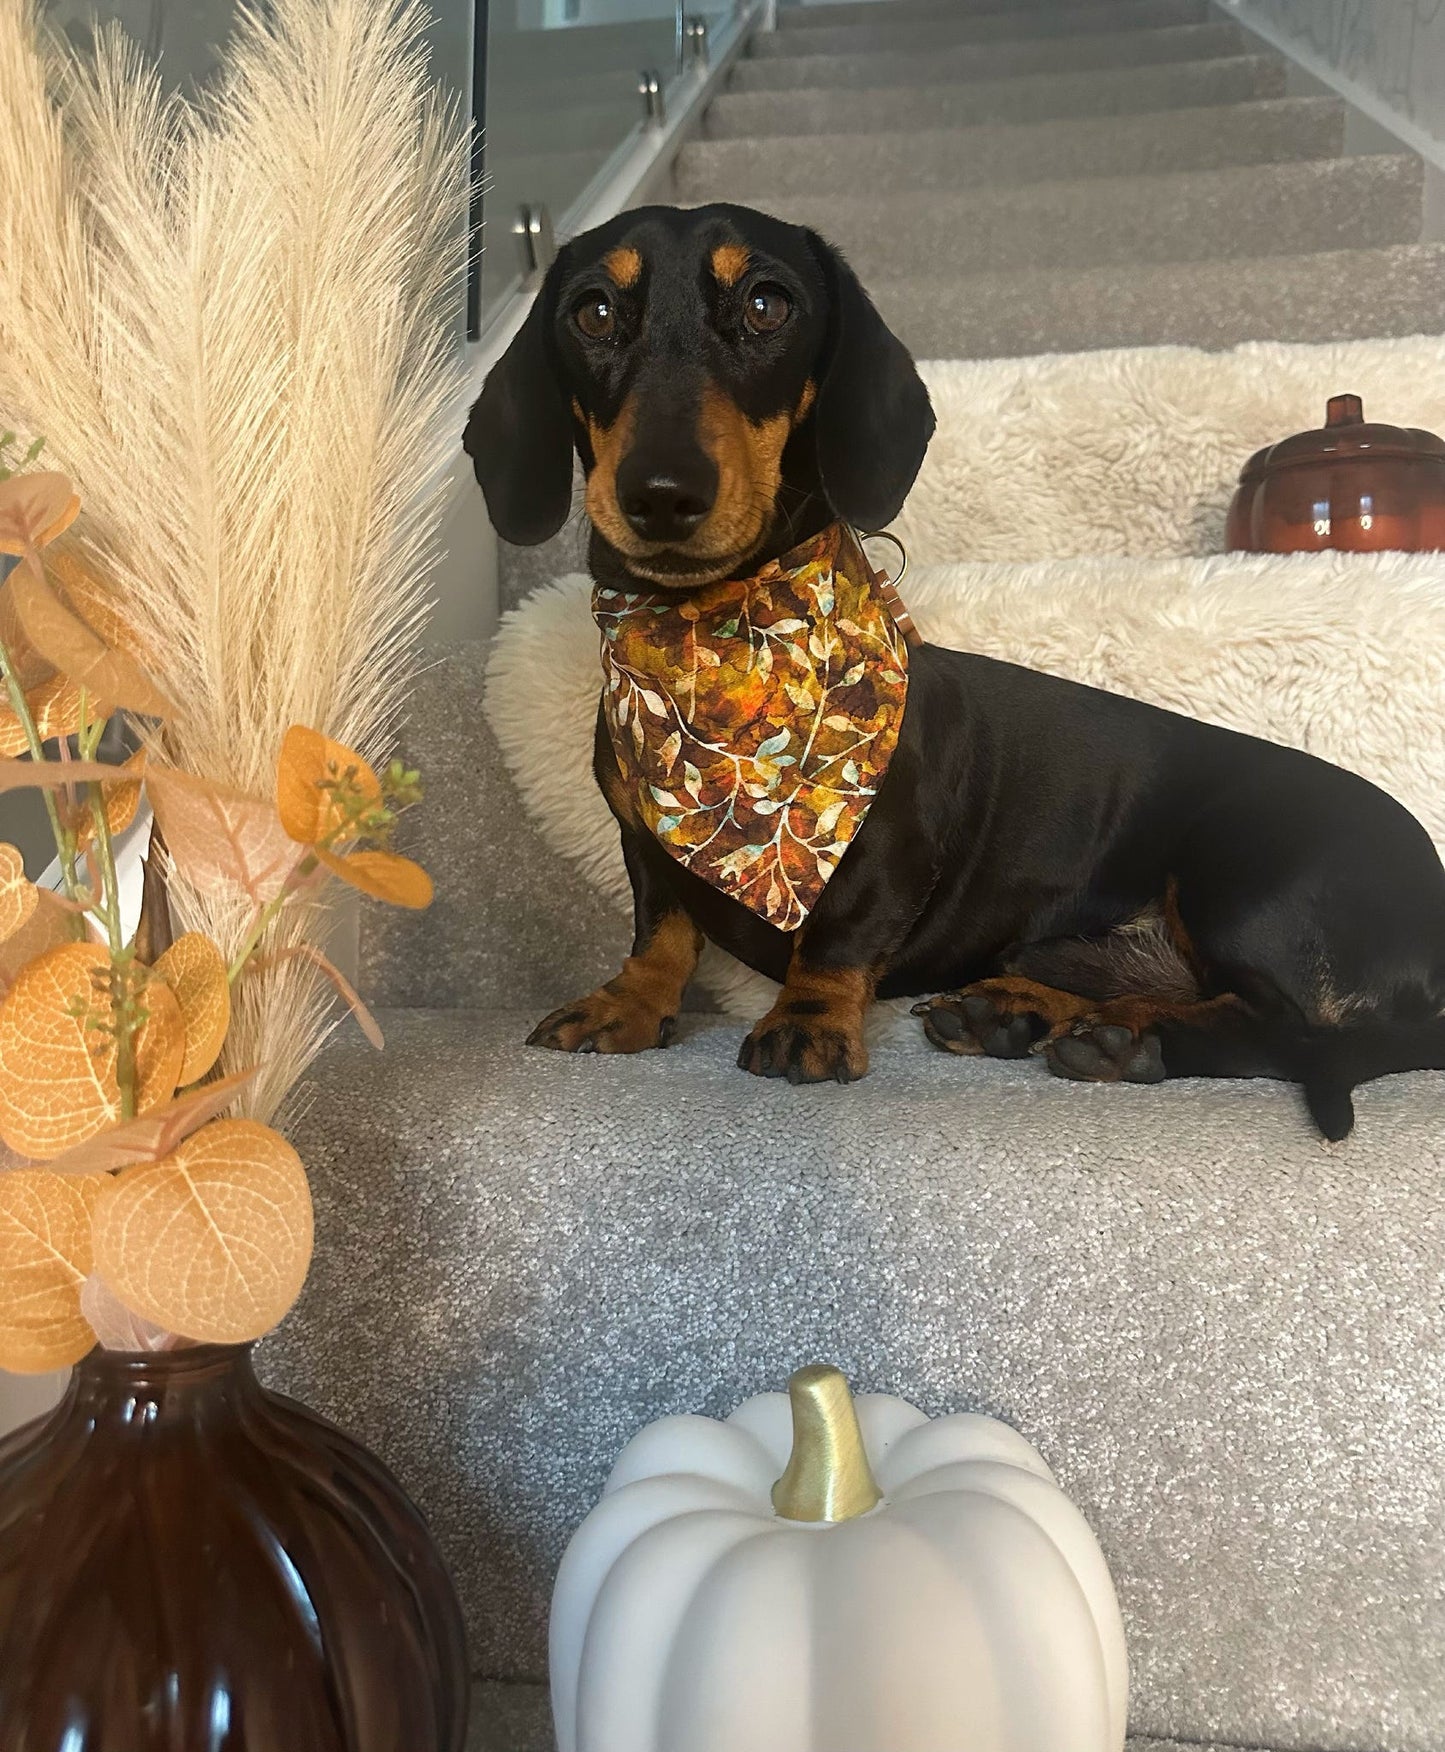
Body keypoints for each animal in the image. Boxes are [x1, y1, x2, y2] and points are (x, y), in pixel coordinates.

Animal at [465, 201, 1443, 1135]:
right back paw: (1016, 1011)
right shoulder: (642, 843)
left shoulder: (884, 848)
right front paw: (625, 1006)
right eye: (593, 311)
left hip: (1240, 875)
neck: (710, 647)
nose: (661, 494)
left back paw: (1130, 1037)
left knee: (1285, 1028)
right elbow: (660, 932)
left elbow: (835, 938)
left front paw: (808, 1022)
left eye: (767, 304)